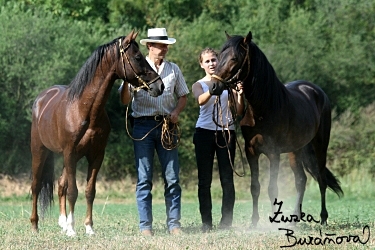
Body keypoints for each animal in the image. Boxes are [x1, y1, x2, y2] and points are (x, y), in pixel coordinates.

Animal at [29, 30, 164, 235]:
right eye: (138, 57)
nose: (159, 86)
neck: (84, 110)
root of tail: (41, 99)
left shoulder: (96, 155)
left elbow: (89, 191)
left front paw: (88, 227)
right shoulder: (70, 154)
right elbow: (73, 191)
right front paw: (72, 230)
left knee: (60, 184)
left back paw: (62, 223)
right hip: (40, 151)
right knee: (36, 186)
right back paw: (35, 225)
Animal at [212, 31, 344, 227]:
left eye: (234, 58)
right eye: (220, 56)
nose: (214, 86)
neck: (263, 108)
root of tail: (317, 91)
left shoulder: (273, 153)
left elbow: (272, 188)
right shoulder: (252, 152)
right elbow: (255, 187)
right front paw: (254, 222)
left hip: (320, 146)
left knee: (321, 179)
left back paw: (323, 218)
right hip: (296, 150)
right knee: (301, 180)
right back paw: (295, 219)